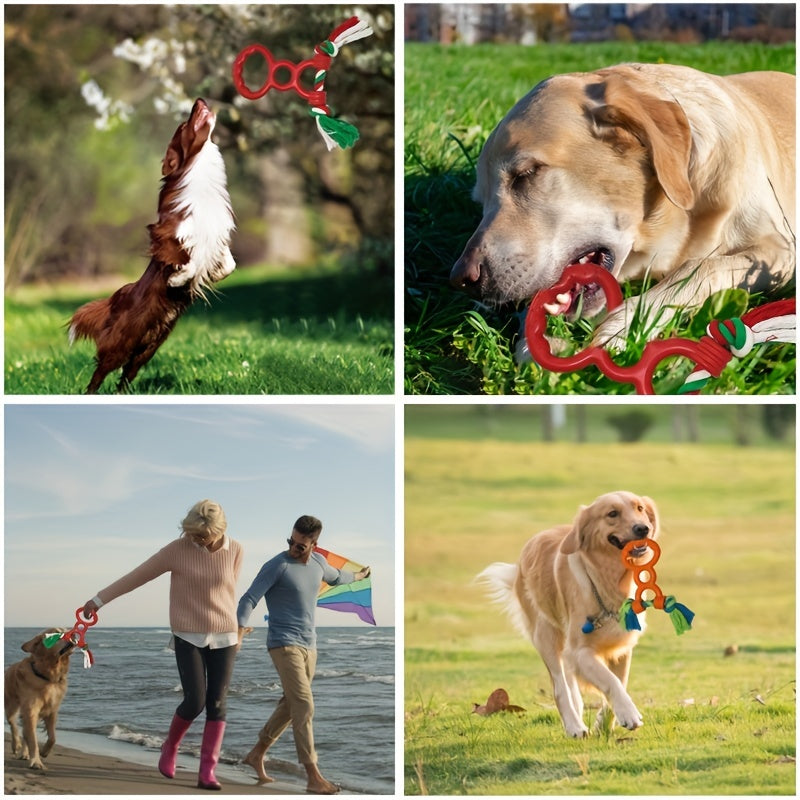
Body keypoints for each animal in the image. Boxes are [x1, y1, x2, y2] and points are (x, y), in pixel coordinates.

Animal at [4, 632, 75, 768]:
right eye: (56, 635)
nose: (73, 635)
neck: (47, 676)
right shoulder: (31, 709)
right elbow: (33, 739)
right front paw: (36, 762)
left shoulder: (52, 709)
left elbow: (52, 737)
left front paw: (44, 752)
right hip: (11, 705)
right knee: (12, 723)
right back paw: (16, 745)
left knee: (24, 731)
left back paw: (24, 753)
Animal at [69, 100, 234, 394]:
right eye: (184, 125)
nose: (199, 100)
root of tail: (115, 299)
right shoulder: (168, 236)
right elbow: (185, 261)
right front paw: (177, 279)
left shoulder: (217, 238)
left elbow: (228, 265)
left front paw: (212, 275)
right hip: (119, 346)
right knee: (99, 374)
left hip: (146, 350)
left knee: (125, 375)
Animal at [478, 490, 660, 740]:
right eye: (612, 513)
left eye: (640, 508)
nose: (643, 528)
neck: (608, 580)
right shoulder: (579, 651)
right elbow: (610, 681)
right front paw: (629, 713)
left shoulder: (621, 647)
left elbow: (620, 681)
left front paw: (604, 723)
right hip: (546, 636)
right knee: (560, 688)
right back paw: (574, 726)